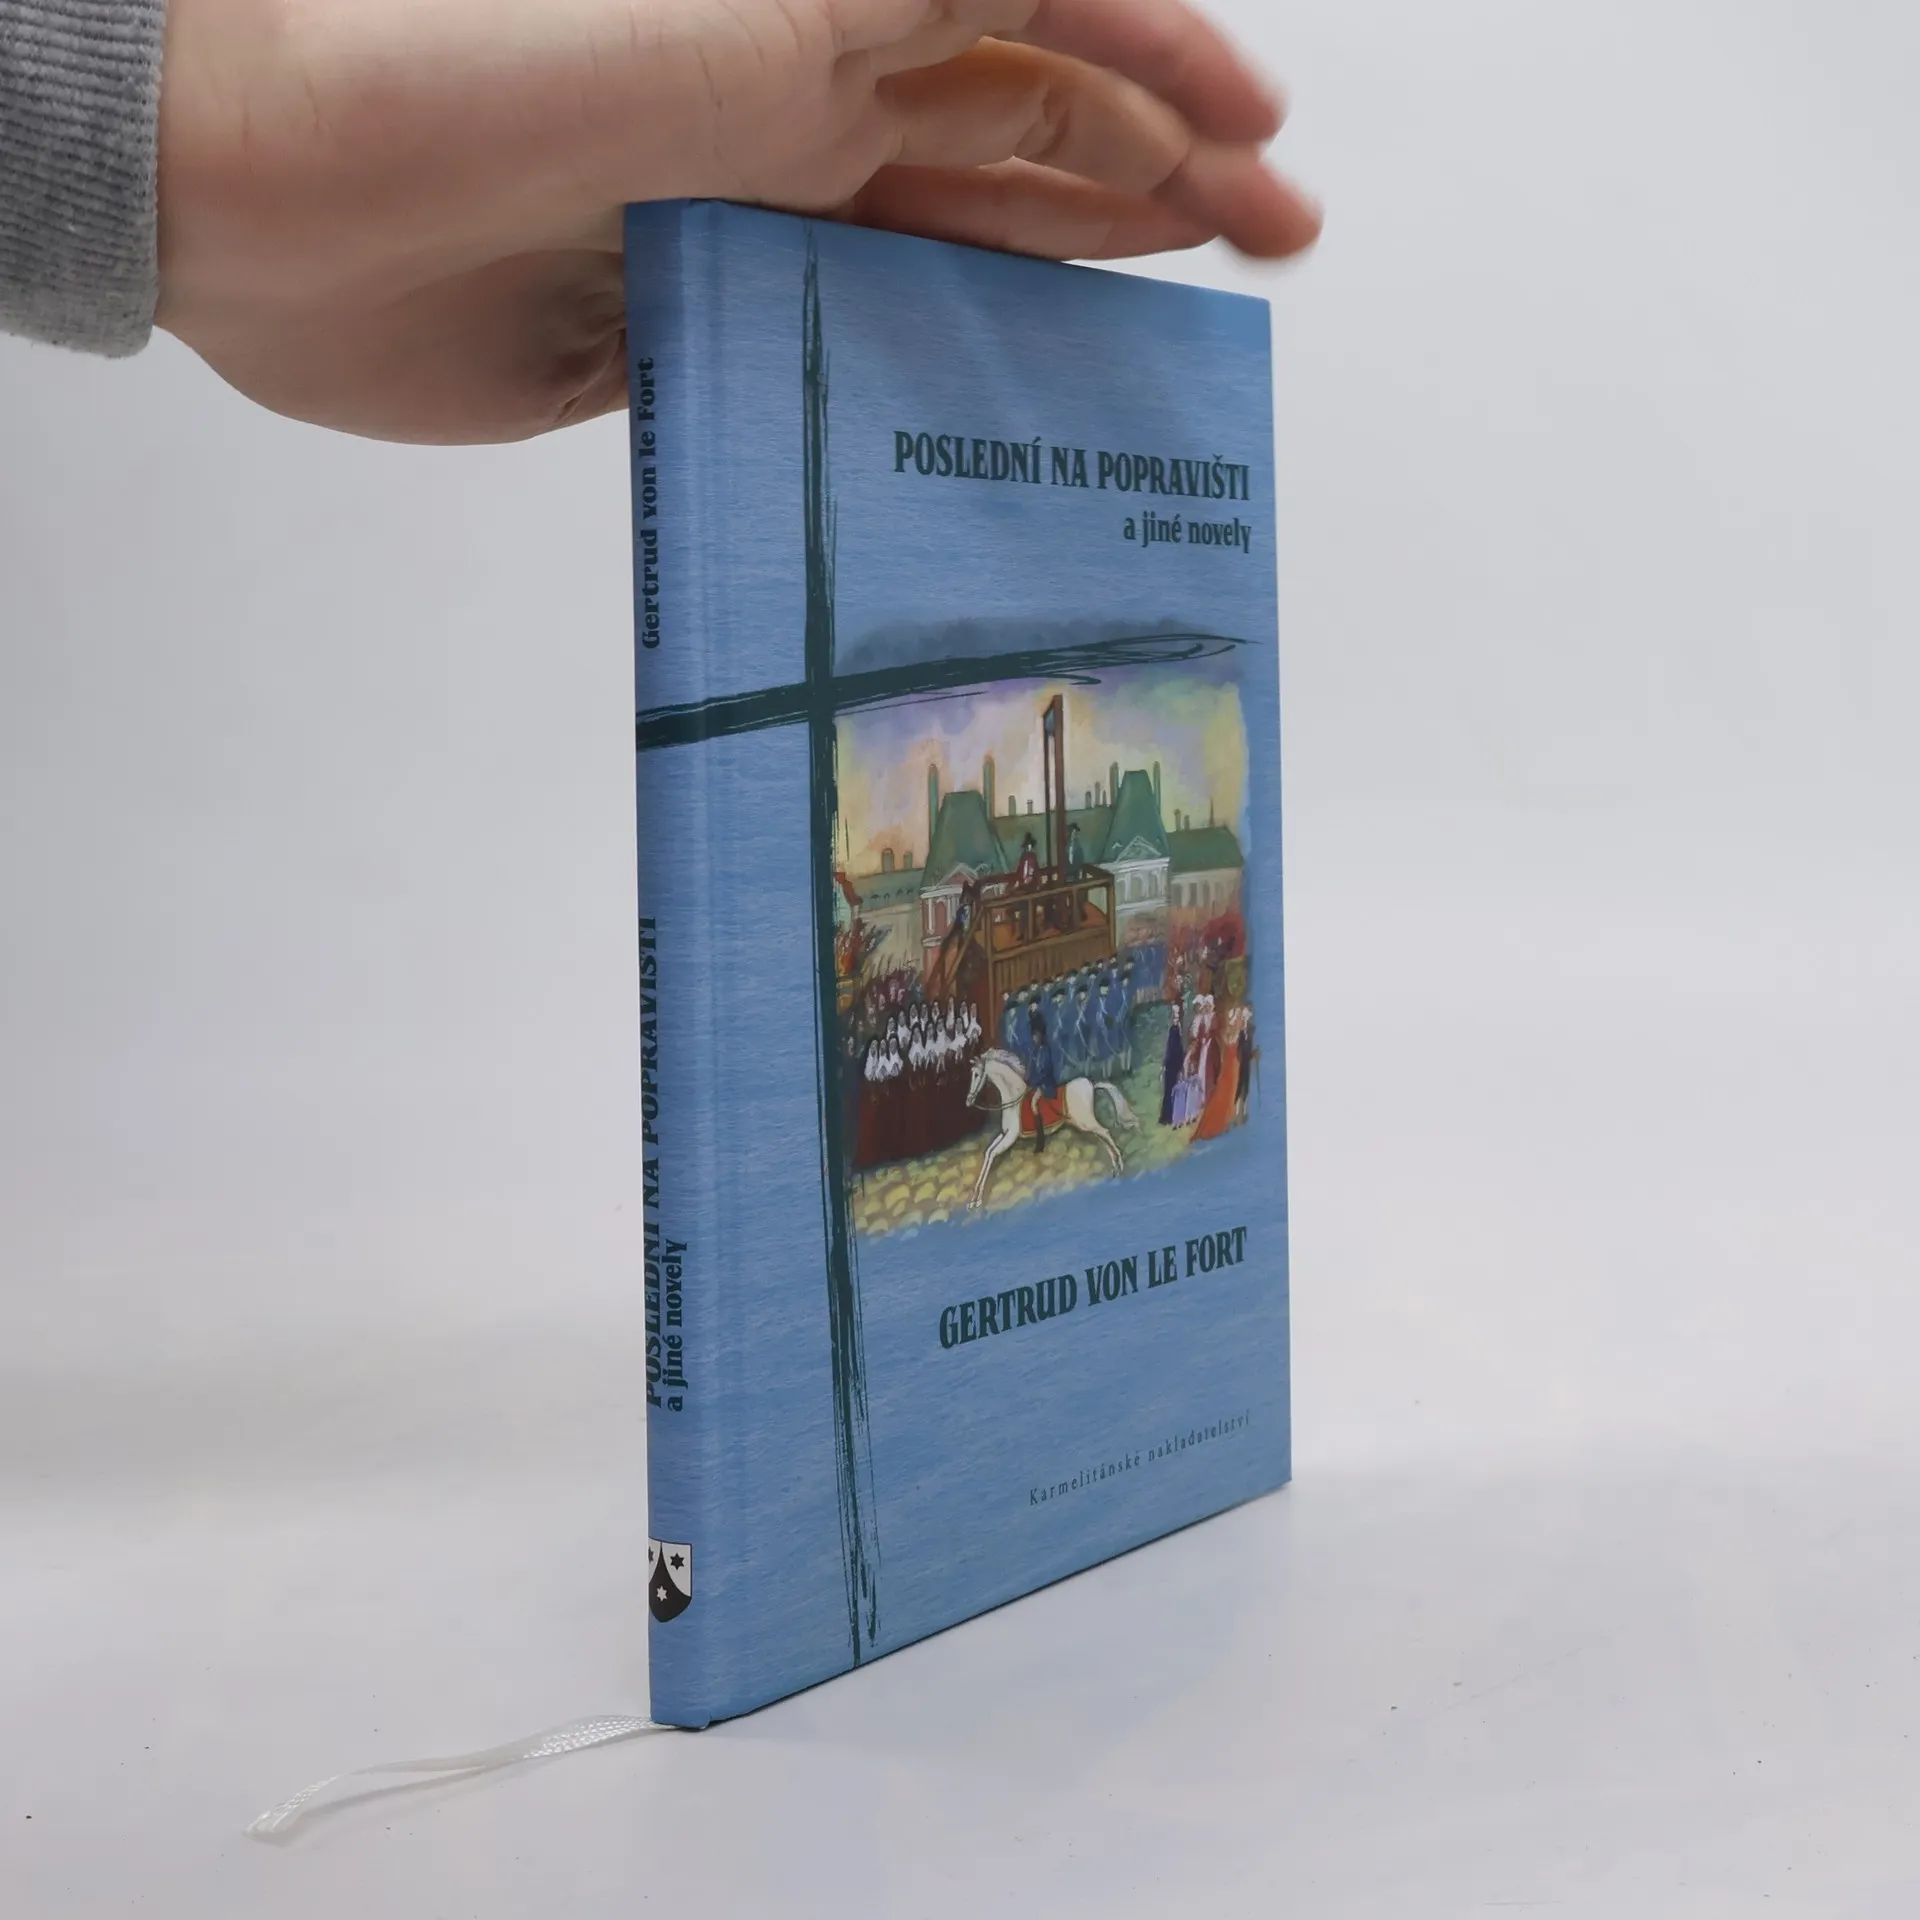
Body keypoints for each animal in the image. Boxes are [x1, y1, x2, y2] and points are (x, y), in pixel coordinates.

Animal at [964, 1047, 1140, 1210]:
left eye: (977, 1074)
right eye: (971, 1074)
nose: (968, 1101)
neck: (1014, 1100)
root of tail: (1090, 1084)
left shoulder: (1011, 1137)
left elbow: (992, 1154)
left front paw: (976, 1199)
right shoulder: (1003, 1134)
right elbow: (988, 1153)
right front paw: (974, 1199)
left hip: (1085, 1121)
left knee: (1105, 1132)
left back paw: (1120, 1165)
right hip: (1084, 1123)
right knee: (1101, 1136)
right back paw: (1115, 1167)